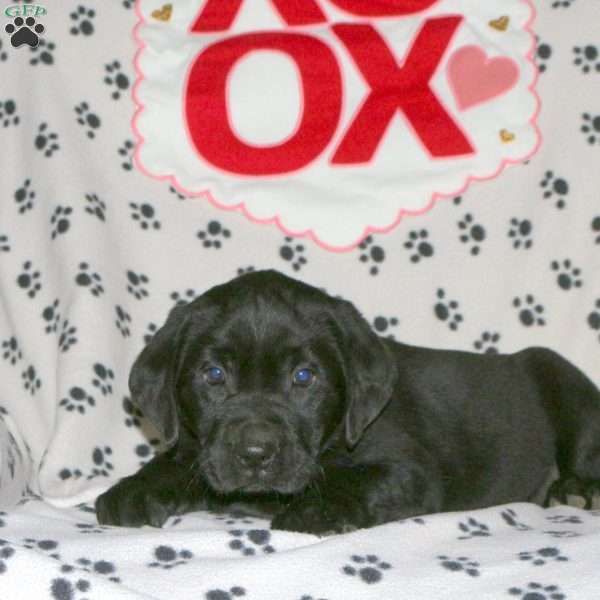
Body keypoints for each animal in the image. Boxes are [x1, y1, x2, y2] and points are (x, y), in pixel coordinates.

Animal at [96, 270, 600, 532]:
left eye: (304, 377)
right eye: (214, 375)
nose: (255, 453)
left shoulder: (412, 472)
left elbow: (358, 481)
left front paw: (315, 510)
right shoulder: (201, 450)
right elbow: (177, 463)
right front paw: (135, 490)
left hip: (560, 378)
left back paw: (577, 491)